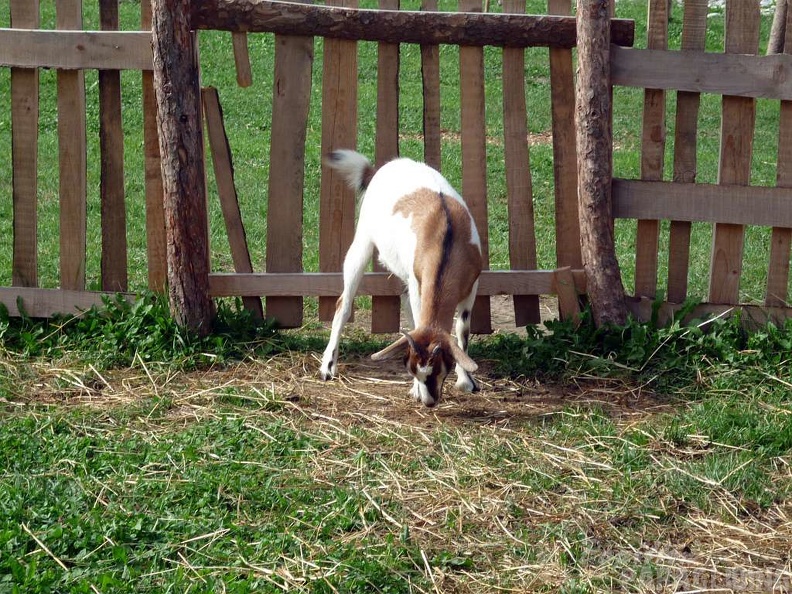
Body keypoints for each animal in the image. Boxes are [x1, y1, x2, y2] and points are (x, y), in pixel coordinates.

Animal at [318, 149, 480, 408]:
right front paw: (415, 390)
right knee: (343, 303)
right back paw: (328, 367)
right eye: (412, 367)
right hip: (362, 241)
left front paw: (466, 381)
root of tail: (379, 170)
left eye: (438, 368)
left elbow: (462, 330)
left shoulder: (472, 286)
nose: (429, 401)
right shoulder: (419, 284)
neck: (447, 241)